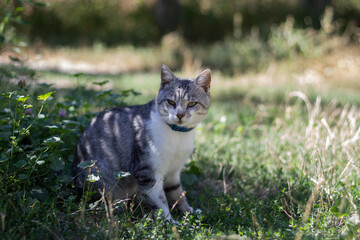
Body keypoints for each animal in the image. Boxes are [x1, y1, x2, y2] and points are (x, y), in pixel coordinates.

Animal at [72, 64, 211, 221]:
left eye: (192, 104)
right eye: (171, 102)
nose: (179, 115)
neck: (177, 135)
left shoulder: (173, 171)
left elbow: (177, 193)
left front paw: (188, 211)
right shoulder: (147, 172)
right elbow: (159, 200)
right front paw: (169, 221)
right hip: (100, 179)